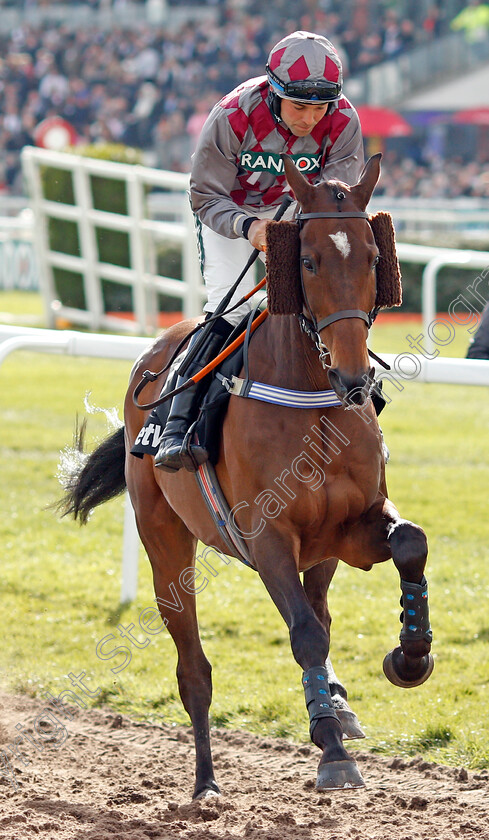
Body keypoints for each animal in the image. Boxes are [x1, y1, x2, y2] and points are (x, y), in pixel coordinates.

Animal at [57, 156, 430, 800]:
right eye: (308, 260)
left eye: (372, 257)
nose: (353, 377)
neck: (313, 399)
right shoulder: (266, 535)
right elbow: (304, 634)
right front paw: (331, 751)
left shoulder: (351, 528)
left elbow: (408, 543)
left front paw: (409, 658)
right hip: (164, 541)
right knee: (194, 667)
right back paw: (206, 781)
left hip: (320, 553)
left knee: (320, 607)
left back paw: (338, 701)